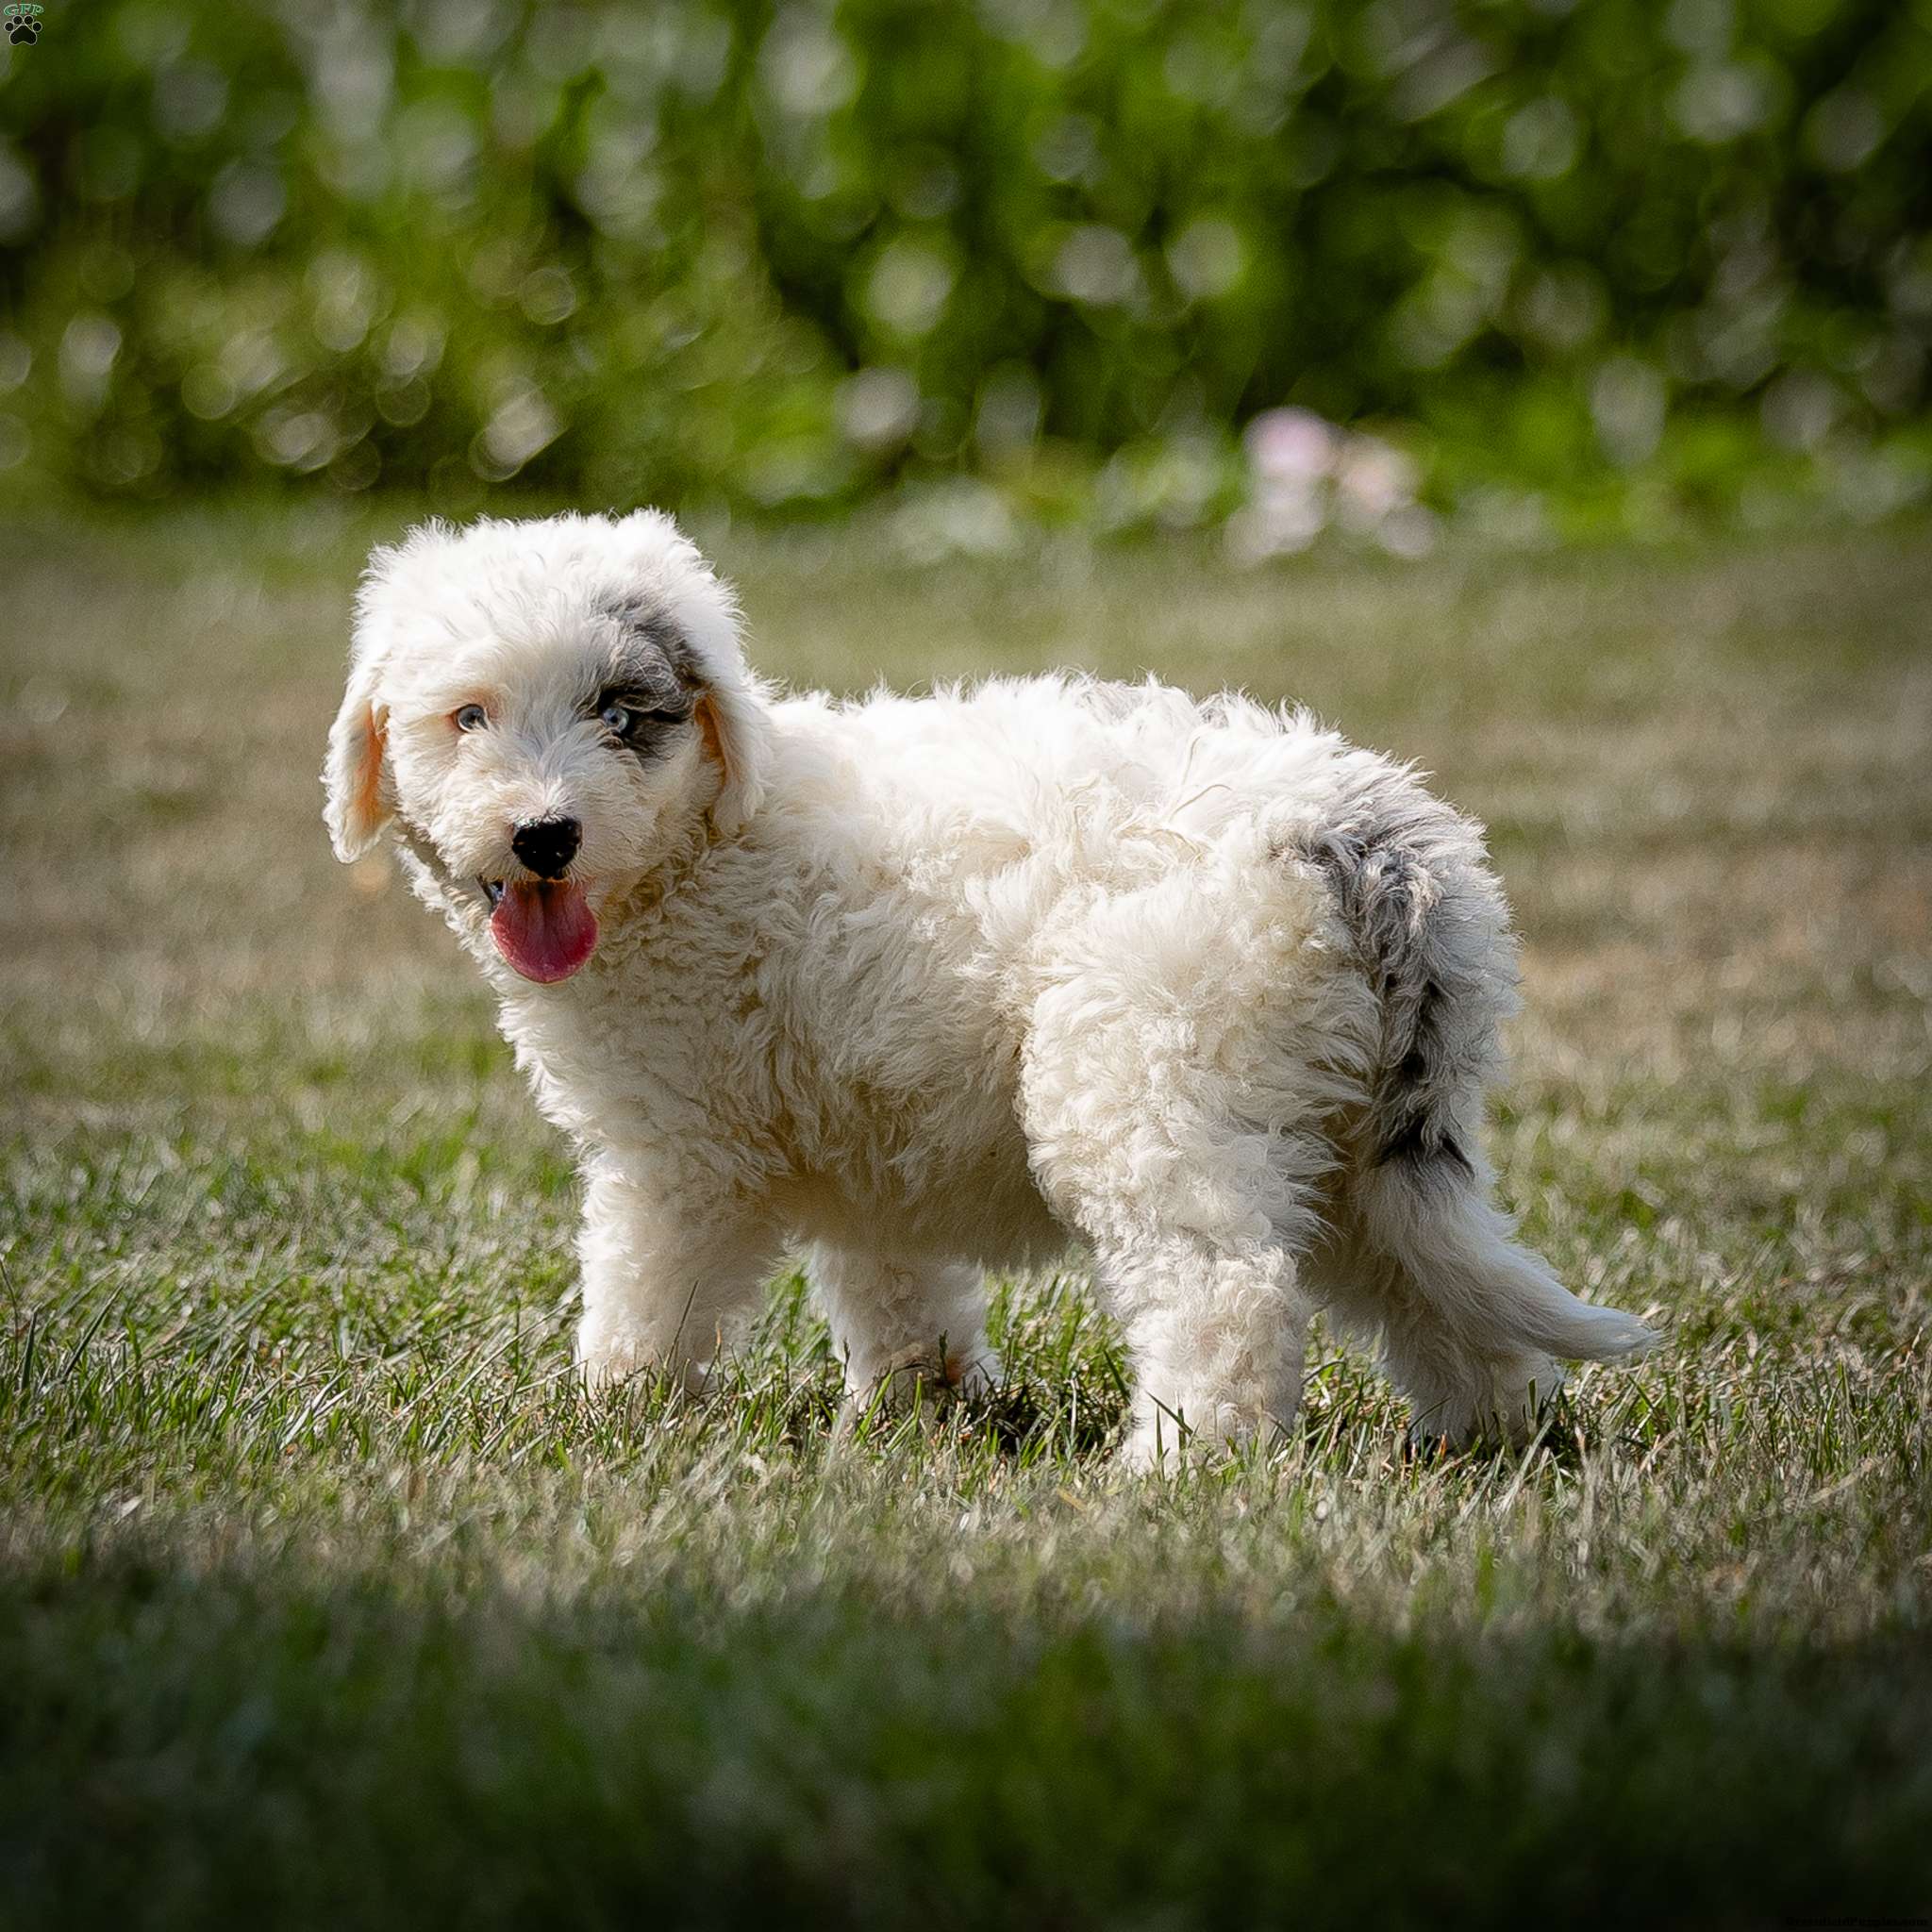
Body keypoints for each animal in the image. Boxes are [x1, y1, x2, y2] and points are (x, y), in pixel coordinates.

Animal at [325, 513, 1654, 1460]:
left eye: (617, 713)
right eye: (468, 716)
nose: (543, 835)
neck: (705, 843)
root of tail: (1370, 835)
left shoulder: (682, 1154)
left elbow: (648, 1286)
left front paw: (614, 1415)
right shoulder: (856, 1123)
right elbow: (890, 1276)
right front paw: (925, 1408)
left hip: (1146, 1083)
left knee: (1222, 1284)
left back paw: (1175, 1466)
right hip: (1352, 1132)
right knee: (1436, 1284)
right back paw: (1486, 1439)